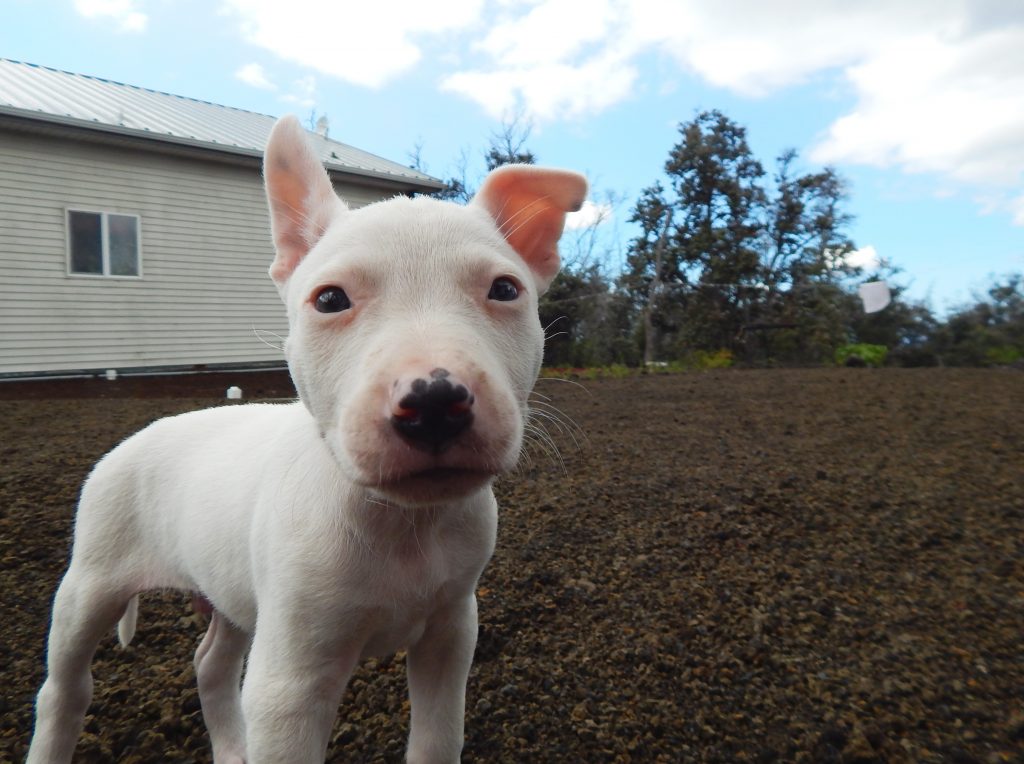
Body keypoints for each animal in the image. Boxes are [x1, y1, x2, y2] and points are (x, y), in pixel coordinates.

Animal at [25, 114, 585, 761]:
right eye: (330, 299)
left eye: (505, 290)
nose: (434, 403)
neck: (399, 524)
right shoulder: (290, 684)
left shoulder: (450, 636)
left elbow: (437, 738)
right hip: (91, 582)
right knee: (65, 689)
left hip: (229, 593)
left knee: (211, 663)